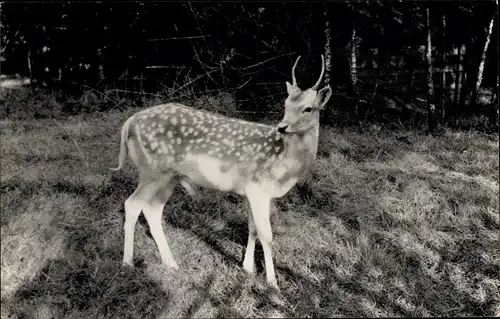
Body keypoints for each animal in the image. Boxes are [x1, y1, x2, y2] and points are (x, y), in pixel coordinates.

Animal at [112, 55, 332, 290]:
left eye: (308, 108)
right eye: (286, 104)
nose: (282, 127)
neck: (285, 165)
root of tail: (130, 122)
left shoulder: (252, 192)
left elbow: (252, 228)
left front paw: (247, 267)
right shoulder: (259, 190)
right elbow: (267, 235)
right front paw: (272, 283)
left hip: (169, 176)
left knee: (152, 209)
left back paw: (170, 262)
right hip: (152, 170)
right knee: (132, 204)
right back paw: (128, 262)